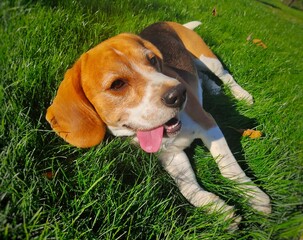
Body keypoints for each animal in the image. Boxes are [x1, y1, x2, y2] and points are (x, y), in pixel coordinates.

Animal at [46, 21, 272, 227]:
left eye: (152, 59)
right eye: (117, 84)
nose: (179, 94)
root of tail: (167, 22)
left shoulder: (208, 123)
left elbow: (230, 169)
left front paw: (253, 195)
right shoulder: (170, 155)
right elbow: (188, 188)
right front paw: (217, 209)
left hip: (207, 59)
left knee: (226, 76)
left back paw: (241, 95)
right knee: (204, 77)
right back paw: (213, 88)